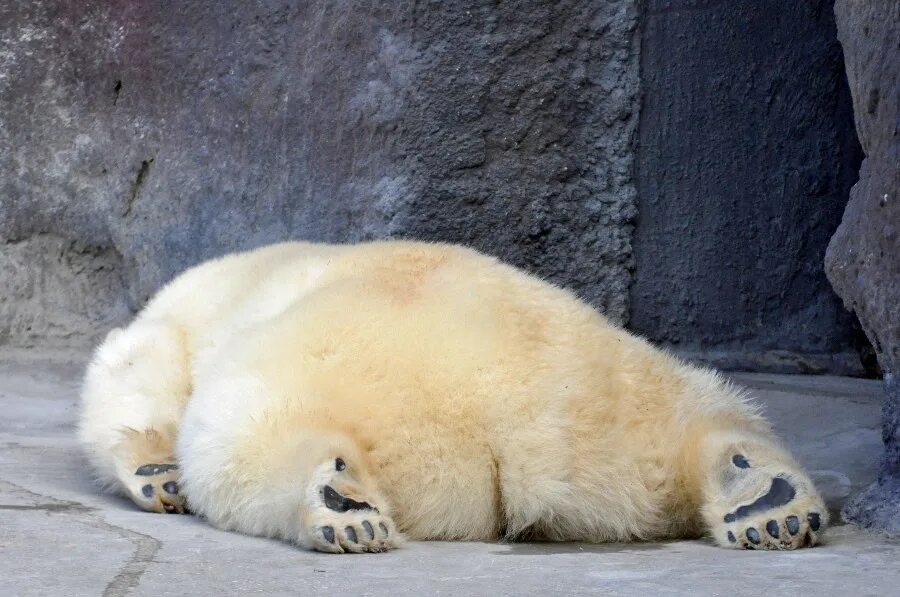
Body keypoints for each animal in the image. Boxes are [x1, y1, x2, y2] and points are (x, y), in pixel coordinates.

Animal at [81, 240, 828, 552]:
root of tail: (506, 408)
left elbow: (127, 384)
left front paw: (154, 472)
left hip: (310, 362)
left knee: (247, 434)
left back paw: (340, 508)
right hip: (613, 390)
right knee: (695, 415)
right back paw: (765, 500)